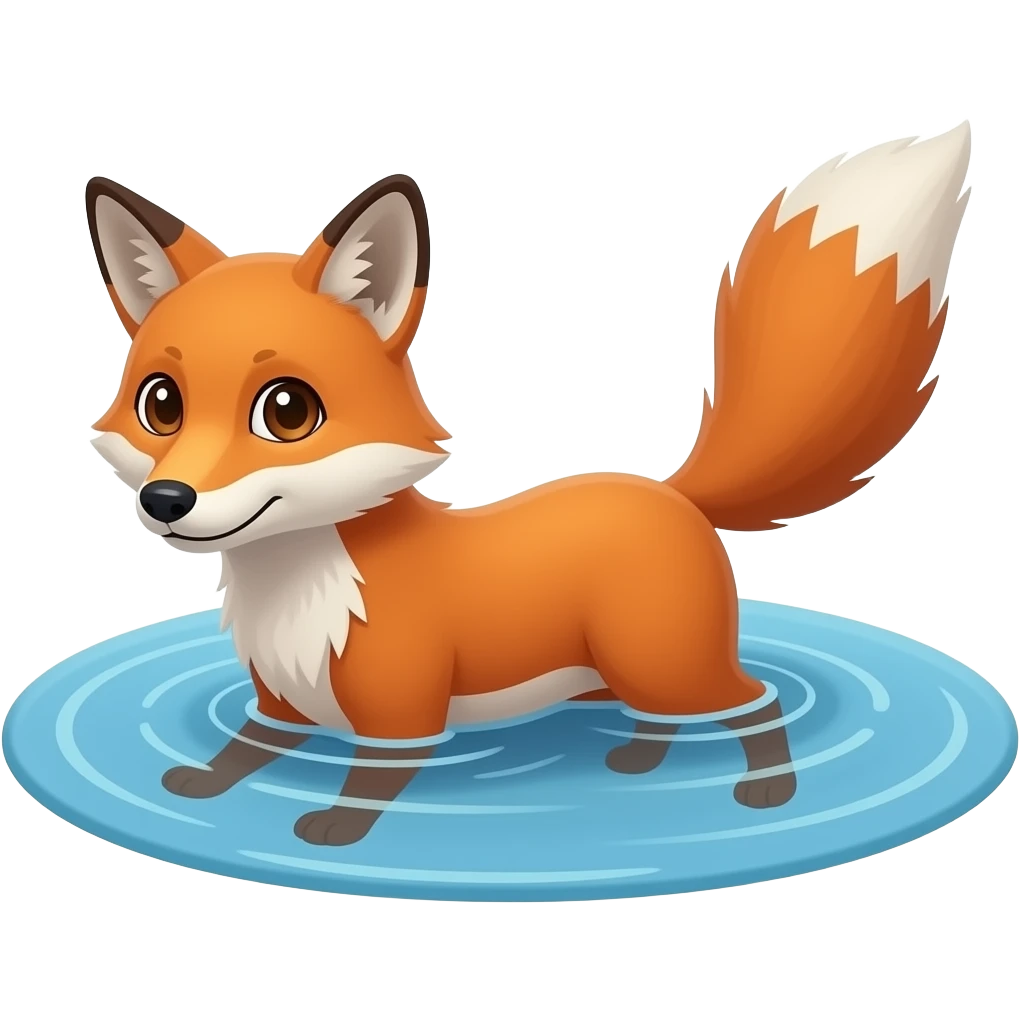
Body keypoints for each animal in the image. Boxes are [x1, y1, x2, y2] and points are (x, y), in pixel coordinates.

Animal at [85, 127, 973, 847]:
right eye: (160, 404)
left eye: (287, 411)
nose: (168, 502)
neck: (300, 593)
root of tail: (671, 493)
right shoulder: (279, 702)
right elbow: (243, 752)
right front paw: (202, 785)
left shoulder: (403, 714)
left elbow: (372, 782)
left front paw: (338, 829)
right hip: (627, 670)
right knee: (667, 718)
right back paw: (641, 763)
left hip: (668, 662)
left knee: (757, 703)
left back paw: (771, 792)